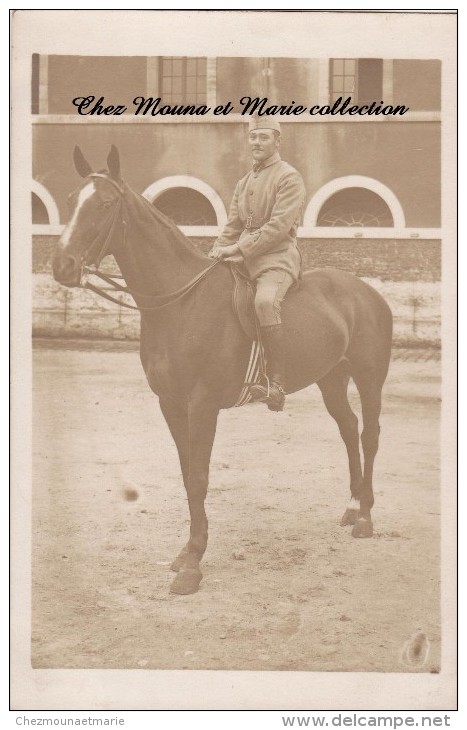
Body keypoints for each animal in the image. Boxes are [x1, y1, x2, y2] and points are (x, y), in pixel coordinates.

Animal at [52, 145, 394, 596]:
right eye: (72, 200)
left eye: (106, 204)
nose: (62, 265)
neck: (180, 302)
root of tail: (367, 290)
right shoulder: (171, 404)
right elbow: (186, 475)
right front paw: (185, 553)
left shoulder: (202, 405)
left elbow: (199, 477)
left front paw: (193, 564)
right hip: (331, 379)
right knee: (348, 429)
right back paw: (353, 506)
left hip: (369, 378)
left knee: (369, 435)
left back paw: (367, 516)